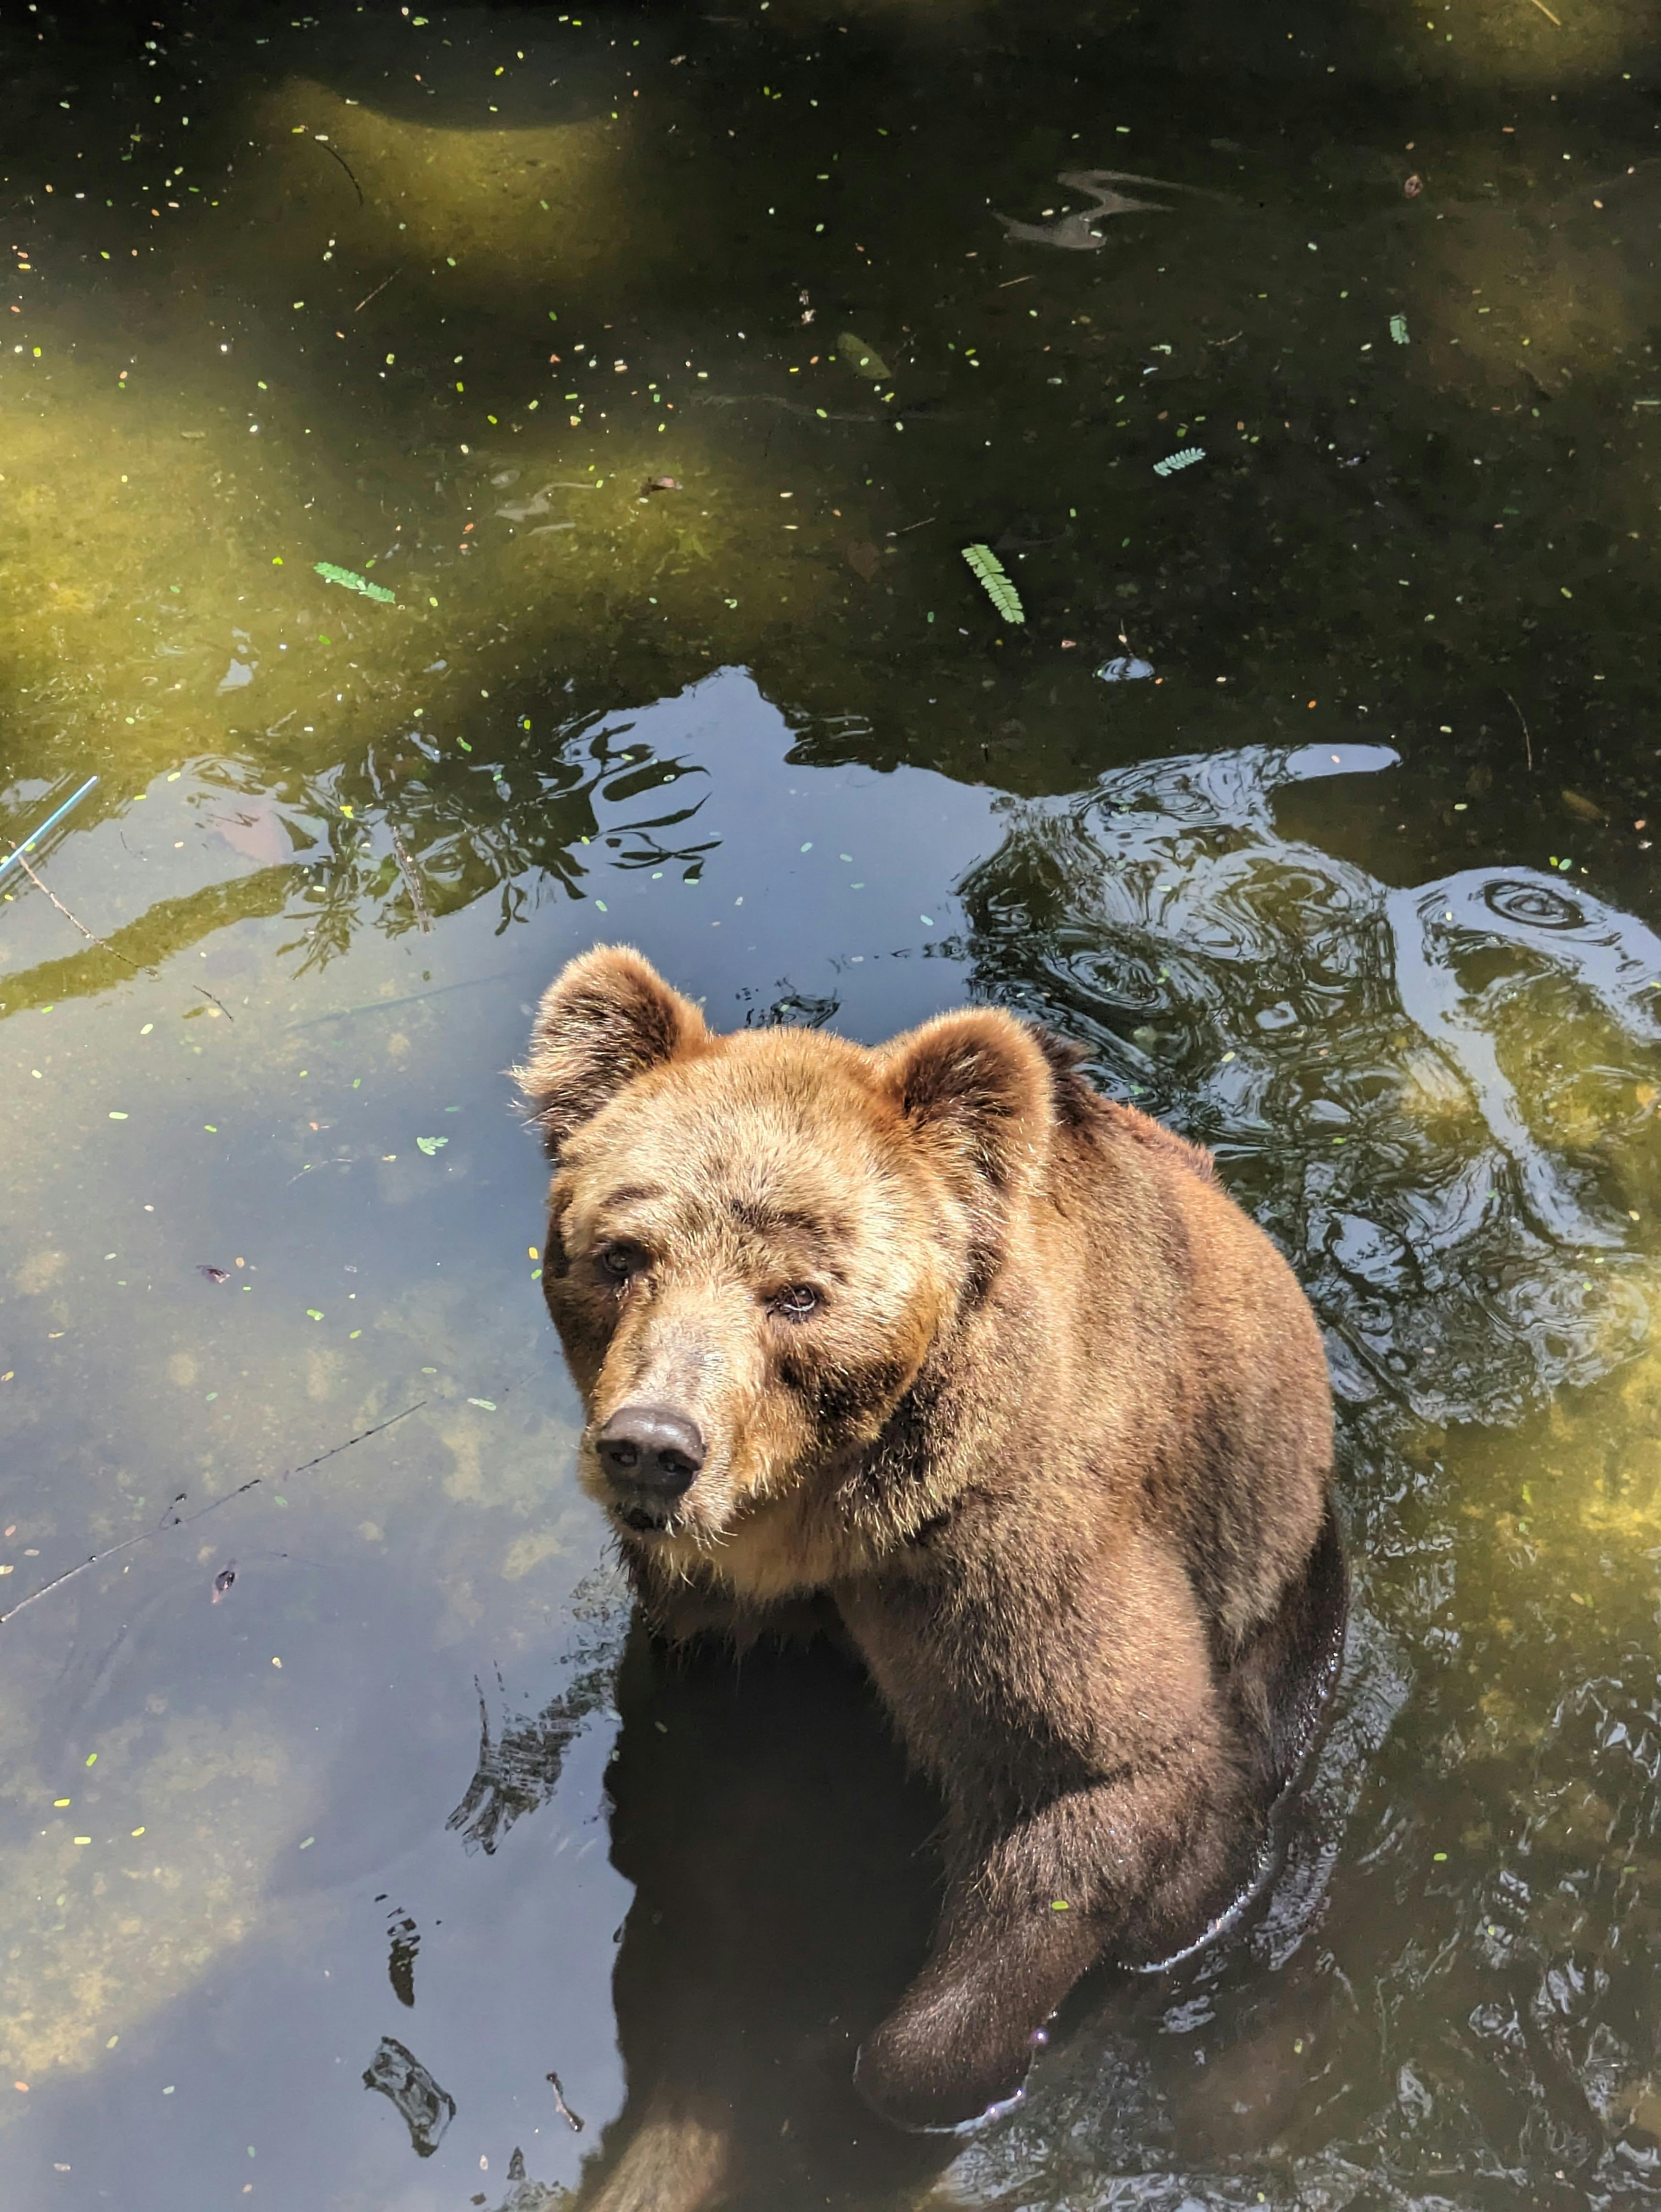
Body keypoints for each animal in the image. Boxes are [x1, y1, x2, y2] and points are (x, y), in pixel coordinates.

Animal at [515, 944, 1346, 2139]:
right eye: (622, 1253)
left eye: (798, 1293)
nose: (652, 1445)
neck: (819, 1518)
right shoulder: (711, 1612)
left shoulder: (1000, 1554)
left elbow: (1104, 1776)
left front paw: (893, 2072)